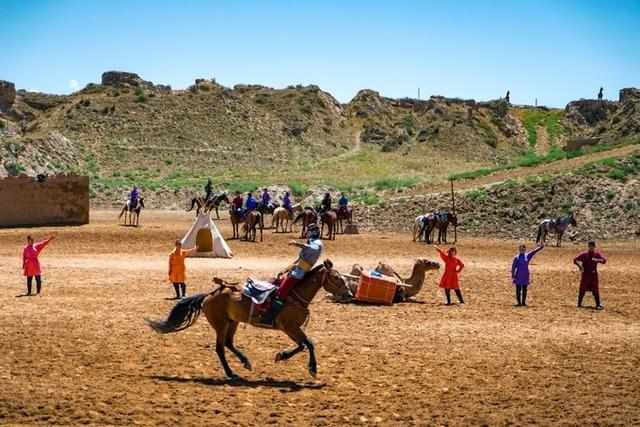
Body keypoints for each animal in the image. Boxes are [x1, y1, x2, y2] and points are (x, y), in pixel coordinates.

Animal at [146, 260, 348, 380]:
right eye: (336, 278)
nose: (348, 293)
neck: (294, 295)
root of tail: (210, 295)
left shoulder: (292, 329)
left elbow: (303, 345)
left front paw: (282, 355)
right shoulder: (290, 327)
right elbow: (309, 344)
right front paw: (312, 368)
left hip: (232, 322)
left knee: (228, 343)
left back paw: (245, 362)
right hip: (220, 324)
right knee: (220, 348)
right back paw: (231, 373)